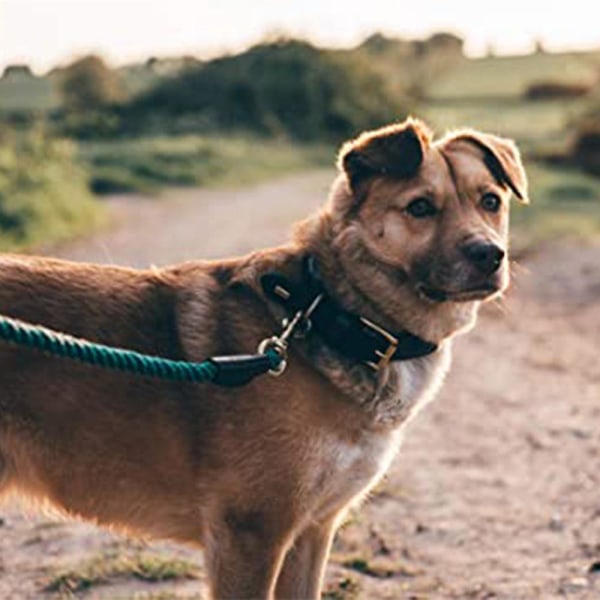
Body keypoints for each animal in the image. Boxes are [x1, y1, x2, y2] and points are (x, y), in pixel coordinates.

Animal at [0, 118, 528, 600]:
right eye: (420, 207)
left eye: (490, 202)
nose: (490, 255)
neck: (334, 313)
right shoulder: (250, 535)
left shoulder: (312, 533)